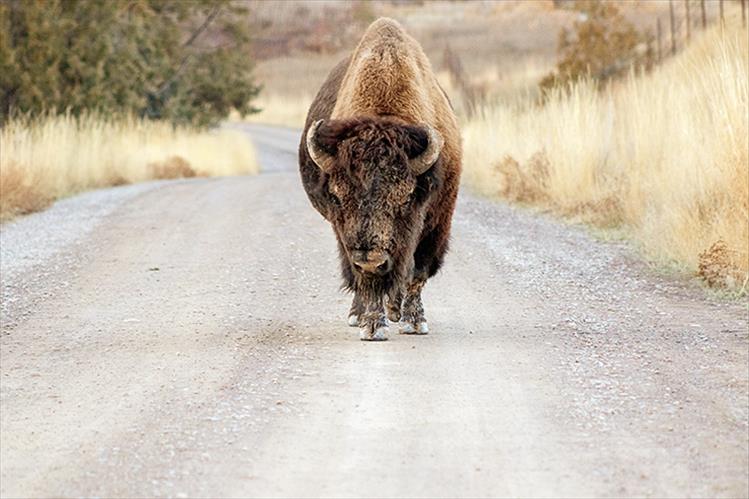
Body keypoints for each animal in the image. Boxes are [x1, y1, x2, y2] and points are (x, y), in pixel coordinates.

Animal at [300, 17, 462, 342]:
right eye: (337, 196)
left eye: (406, 197)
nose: (370, 260)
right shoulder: (346, 235)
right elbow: (365, 280)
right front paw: (372, 325)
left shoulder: (437, 223)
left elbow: (416, 273)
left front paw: (415, 322)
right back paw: (360, 313)